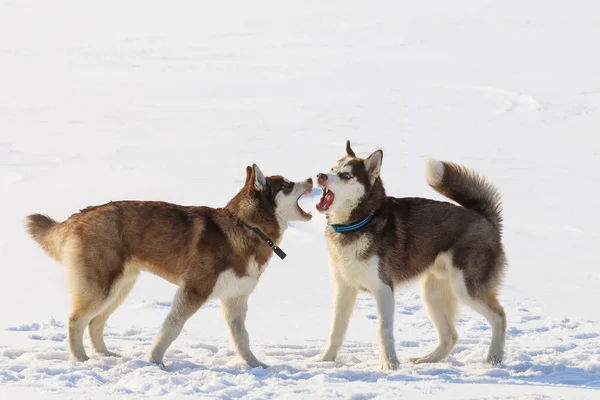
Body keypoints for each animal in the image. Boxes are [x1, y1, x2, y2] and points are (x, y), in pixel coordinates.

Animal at [25, 164, 312, 368]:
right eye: (287, 185)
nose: (311, 179)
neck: (246, 227)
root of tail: (79, 215)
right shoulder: (193, 291)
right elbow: (171, 329)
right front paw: (154, 360)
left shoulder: (236, 299)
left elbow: (242, 338)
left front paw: (255, 366)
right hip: (100, 288)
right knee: (76, 321)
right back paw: (81, 359)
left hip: (120, 288)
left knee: (95, 322)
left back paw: (106, 355)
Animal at [316, 141, 504, 368]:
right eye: (332, 168)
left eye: (346, 175)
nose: (320, 176)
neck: (358, 223)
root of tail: (485, 218)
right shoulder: (344, 288)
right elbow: (336, 330)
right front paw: (325, 359)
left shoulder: (383, 288)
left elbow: (383, 330)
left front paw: (389, 364)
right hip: (432, 294)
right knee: (450, 336)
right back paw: (427, 359)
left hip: (466, 288)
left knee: (499, 317)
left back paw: (494, 358)